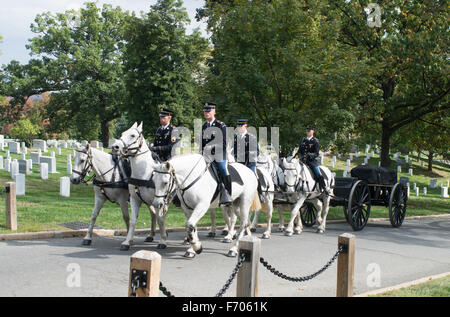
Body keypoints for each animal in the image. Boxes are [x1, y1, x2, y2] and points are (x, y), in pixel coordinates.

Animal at [112, 122, 162, 251]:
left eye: (133, 135)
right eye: (122, 133)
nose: (115, 147)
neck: (145, 173)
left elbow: (160, 218)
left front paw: (163, 240)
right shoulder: (135, 199)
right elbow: (133, 220)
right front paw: (127, 241)